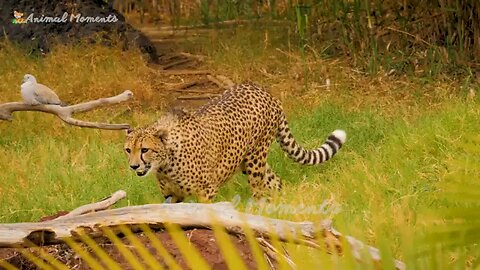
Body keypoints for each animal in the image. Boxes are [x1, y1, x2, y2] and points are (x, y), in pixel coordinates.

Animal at [124, 82, 344, 202]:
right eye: (128, 150)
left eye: (144, 149)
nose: (133, 166)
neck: (165, 163)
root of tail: (261, 89)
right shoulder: (172, 196)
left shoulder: (207, 191)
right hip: (249, 162)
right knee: (275, 182)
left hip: (255, 160)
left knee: (259, 190)